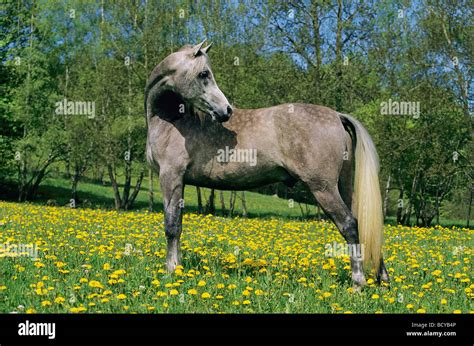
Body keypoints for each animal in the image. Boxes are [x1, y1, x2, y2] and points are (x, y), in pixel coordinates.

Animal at [144, 39, 388, 286]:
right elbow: (178, 224)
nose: (226, 111)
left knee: (349, 224)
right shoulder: (178, 181)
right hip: (343, 187)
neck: (171, 121)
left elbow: (172, 226)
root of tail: (337, 115)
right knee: (364, 223)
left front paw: (172, 270)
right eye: (204, 74)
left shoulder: (171, 177)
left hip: (323, 189)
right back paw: (382, 280)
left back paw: (358, 282)